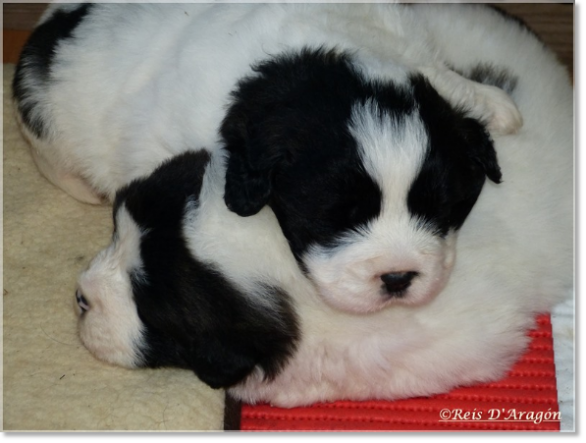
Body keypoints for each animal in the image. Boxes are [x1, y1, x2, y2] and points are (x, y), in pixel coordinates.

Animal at [13, 3, 572, 408]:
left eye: (439, 209)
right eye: (334, 219)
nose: (397, 277)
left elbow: (439, 75)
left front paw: (490, 103)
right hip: (50, 136)